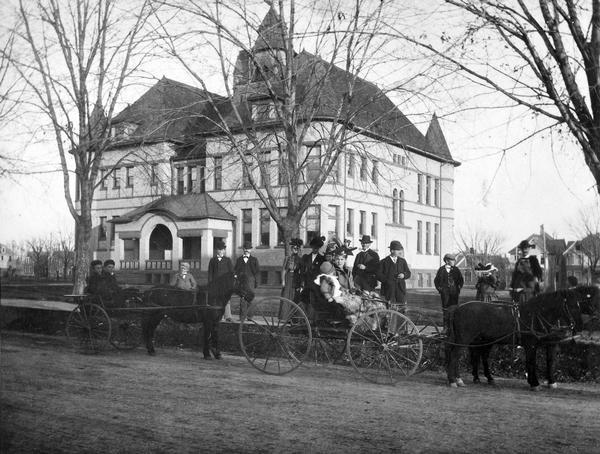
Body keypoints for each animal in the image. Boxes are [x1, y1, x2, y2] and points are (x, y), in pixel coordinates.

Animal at [446, 288, 600, 390]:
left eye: (579, 304)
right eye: (571, 305)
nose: (579, 325)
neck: (534, 315)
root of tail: (458, 308)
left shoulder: (547, 343)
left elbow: (548, 362)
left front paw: (544, 382)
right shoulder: (531, 345)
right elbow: (532, 362)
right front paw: (535, 383)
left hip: (484, 340)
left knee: (478, 355)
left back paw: (479, 378)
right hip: (465, 339)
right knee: (455, 355)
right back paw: (455, 380)